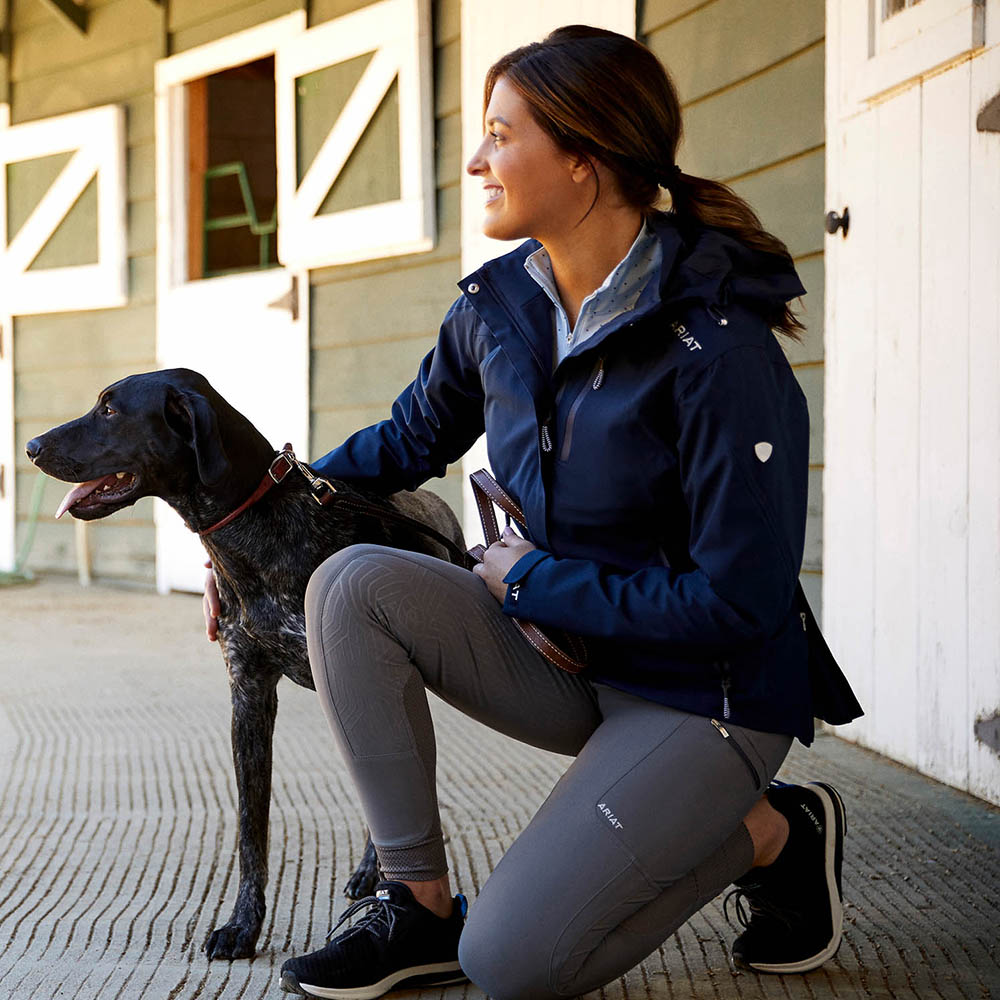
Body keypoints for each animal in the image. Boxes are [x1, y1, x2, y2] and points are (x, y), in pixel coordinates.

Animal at [25, 370, 466, 960]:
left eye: (110, 410)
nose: (31, 446)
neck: (258, 530)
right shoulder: (249, 695)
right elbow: (250, 830)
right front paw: (243, 925)